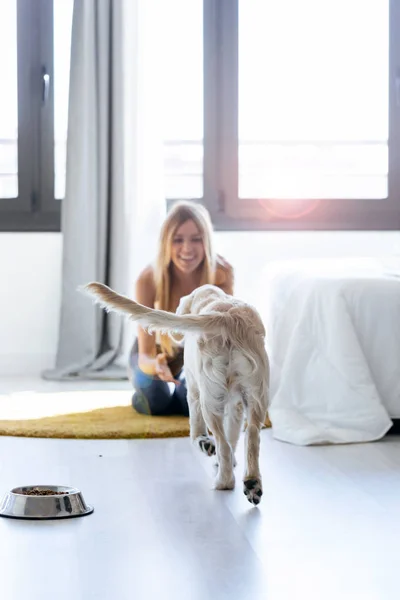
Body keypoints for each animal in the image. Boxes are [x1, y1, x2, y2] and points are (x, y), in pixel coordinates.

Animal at [85, 284, 270, 504]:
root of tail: (228, 317)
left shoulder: (193, 389)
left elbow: (200, 429)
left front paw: (206, 445)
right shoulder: (237, 405)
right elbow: (233, 435)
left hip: (209, 397)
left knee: (220, 442)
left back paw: (222, 479)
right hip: (256, 395)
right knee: (251, 436)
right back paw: (252, 483)